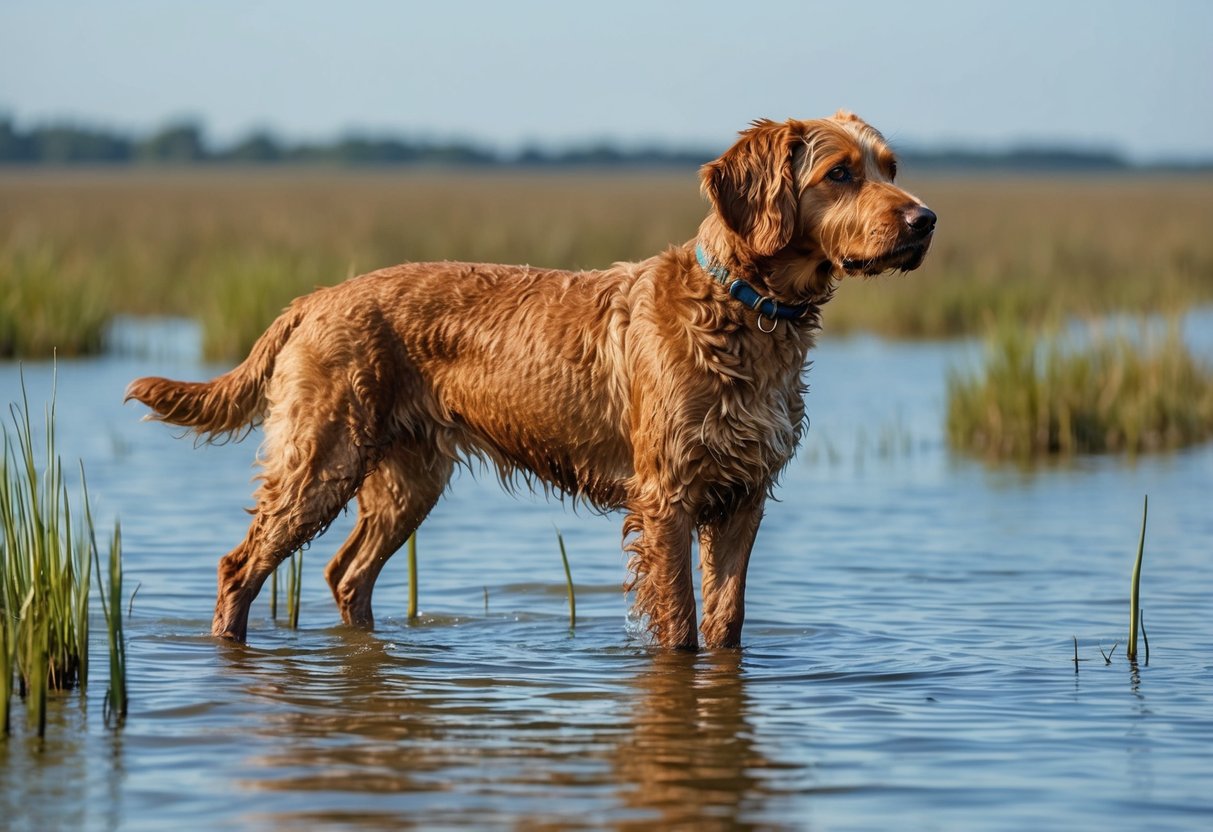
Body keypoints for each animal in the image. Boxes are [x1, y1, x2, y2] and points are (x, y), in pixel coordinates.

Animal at [125, 112, 936, 650]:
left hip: (406, 480)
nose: (925, 219)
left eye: (891, 167)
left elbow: (726, 619)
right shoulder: (667, 496)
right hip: (320, 460)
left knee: (346, 575)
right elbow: (678, 623)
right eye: (839, 174)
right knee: (239, 566)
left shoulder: (743, 496)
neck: (744, 310)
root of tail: (315, 299)